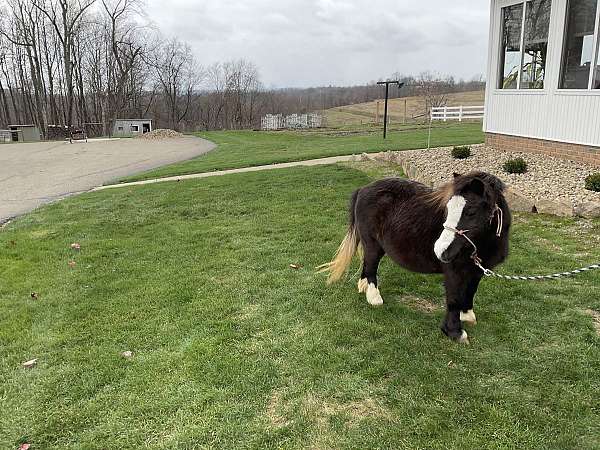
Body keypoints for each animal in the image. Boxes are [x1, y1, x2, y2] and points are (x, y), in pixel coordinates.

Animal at [318, 171, 510, 342]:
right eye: (447, 209)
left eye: (471, 211)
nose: (440, 250)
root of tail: (363, 189)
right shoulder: (454, 271)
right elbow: (454, 298)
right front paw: (455, 332)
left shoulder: (477, 270)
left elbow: (470, 292)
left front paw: (468, 316)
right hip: (372, 244)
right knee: (371, 266)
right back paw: (374, 297)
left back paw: (364, 287)